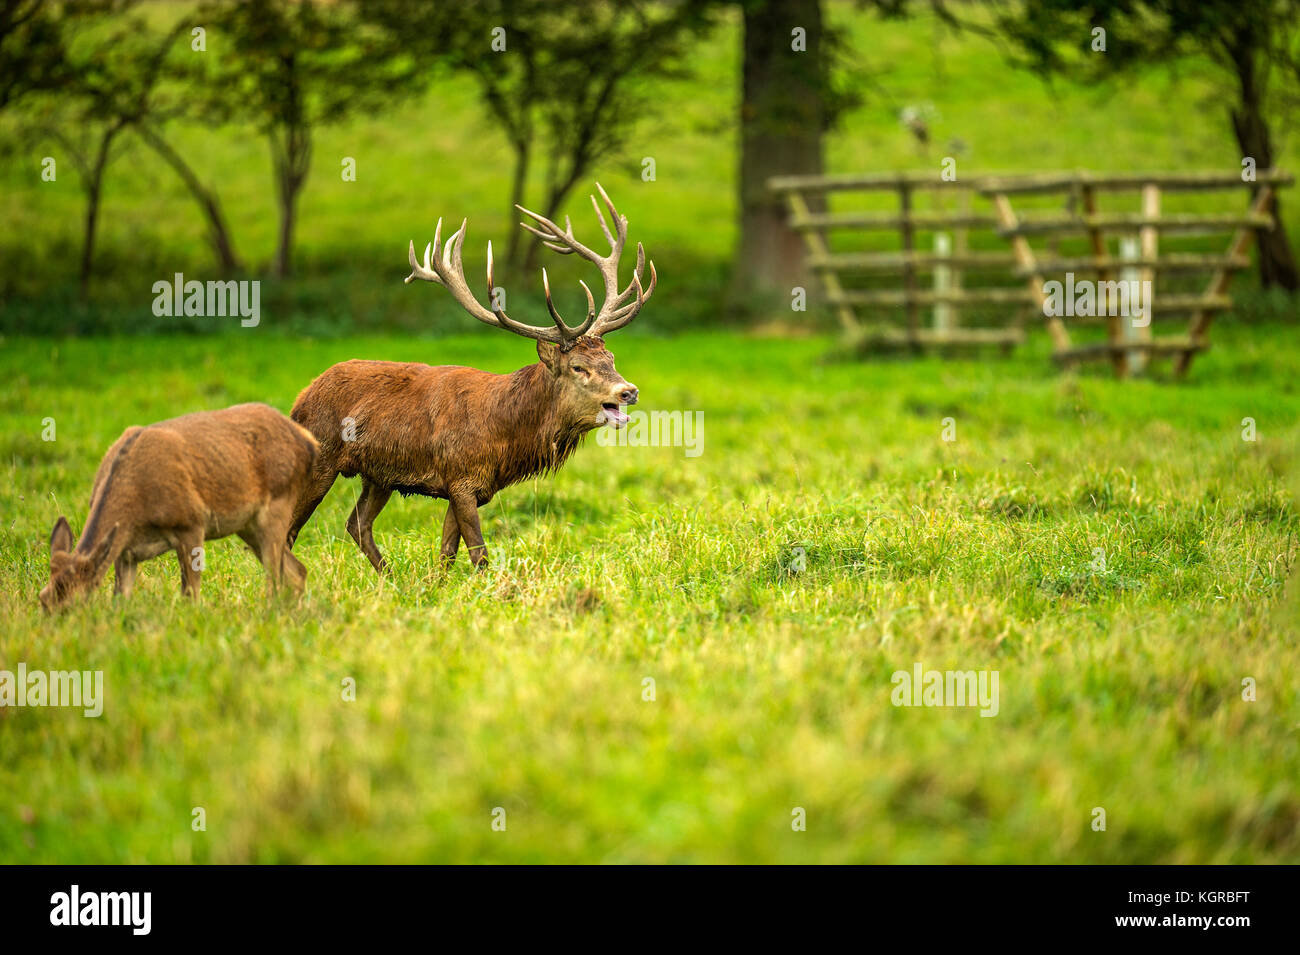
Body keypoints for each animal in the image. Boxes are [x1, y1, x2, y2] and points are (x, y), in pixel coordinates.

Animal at [39, 403, 320, 613]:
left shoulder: (191, 522)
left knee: (276, 577)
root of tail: (309, 442)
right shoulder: (126, 551)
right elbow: (121, 598)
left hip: (279, 501)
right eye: (42, 600)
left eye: (72, 604)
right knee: (296, 571)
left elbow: (190, 593)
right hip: (248, 525)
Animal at [287, 184, 656, 574]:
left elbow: (447, 552)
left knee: (357, 523)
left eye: (610, 359)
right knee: (289, 529)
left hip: (377, 475)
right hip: (321, 455)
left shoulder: (468, 487)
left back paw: (390, 577)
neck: (505, 436)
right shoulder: (461, 477)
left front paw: (435, 584)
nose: (629, 391)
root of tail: (301, 397)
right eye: (578, 367)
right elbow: (479, 554)